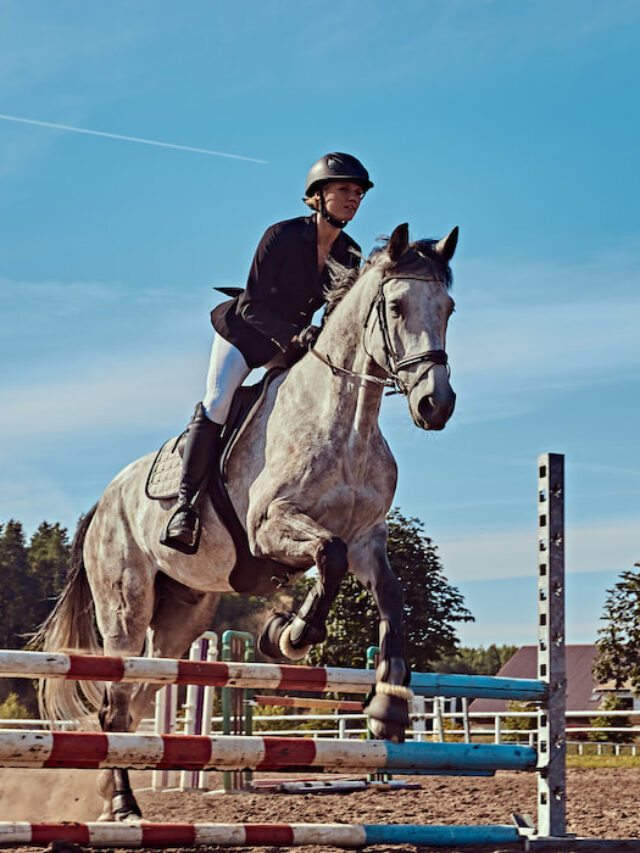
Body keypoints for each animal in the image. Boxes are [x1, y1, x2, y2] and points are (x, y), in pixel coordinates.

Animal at [34, 222, 458, 821]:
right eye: (396, 306)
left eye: (448, 308)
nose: (435, 405)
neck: (346, 421)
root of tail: (102, 502)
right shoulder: (270, 527)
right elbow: (326, 559)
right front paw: (289, 636)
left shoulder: (367, 539)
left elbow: (391, 601)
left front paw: (389, 711)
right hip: (125, 608)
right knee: (115, 702)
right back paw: (122, 804)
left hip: (181, 619)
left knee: (136, 700)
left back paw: (113, 794)